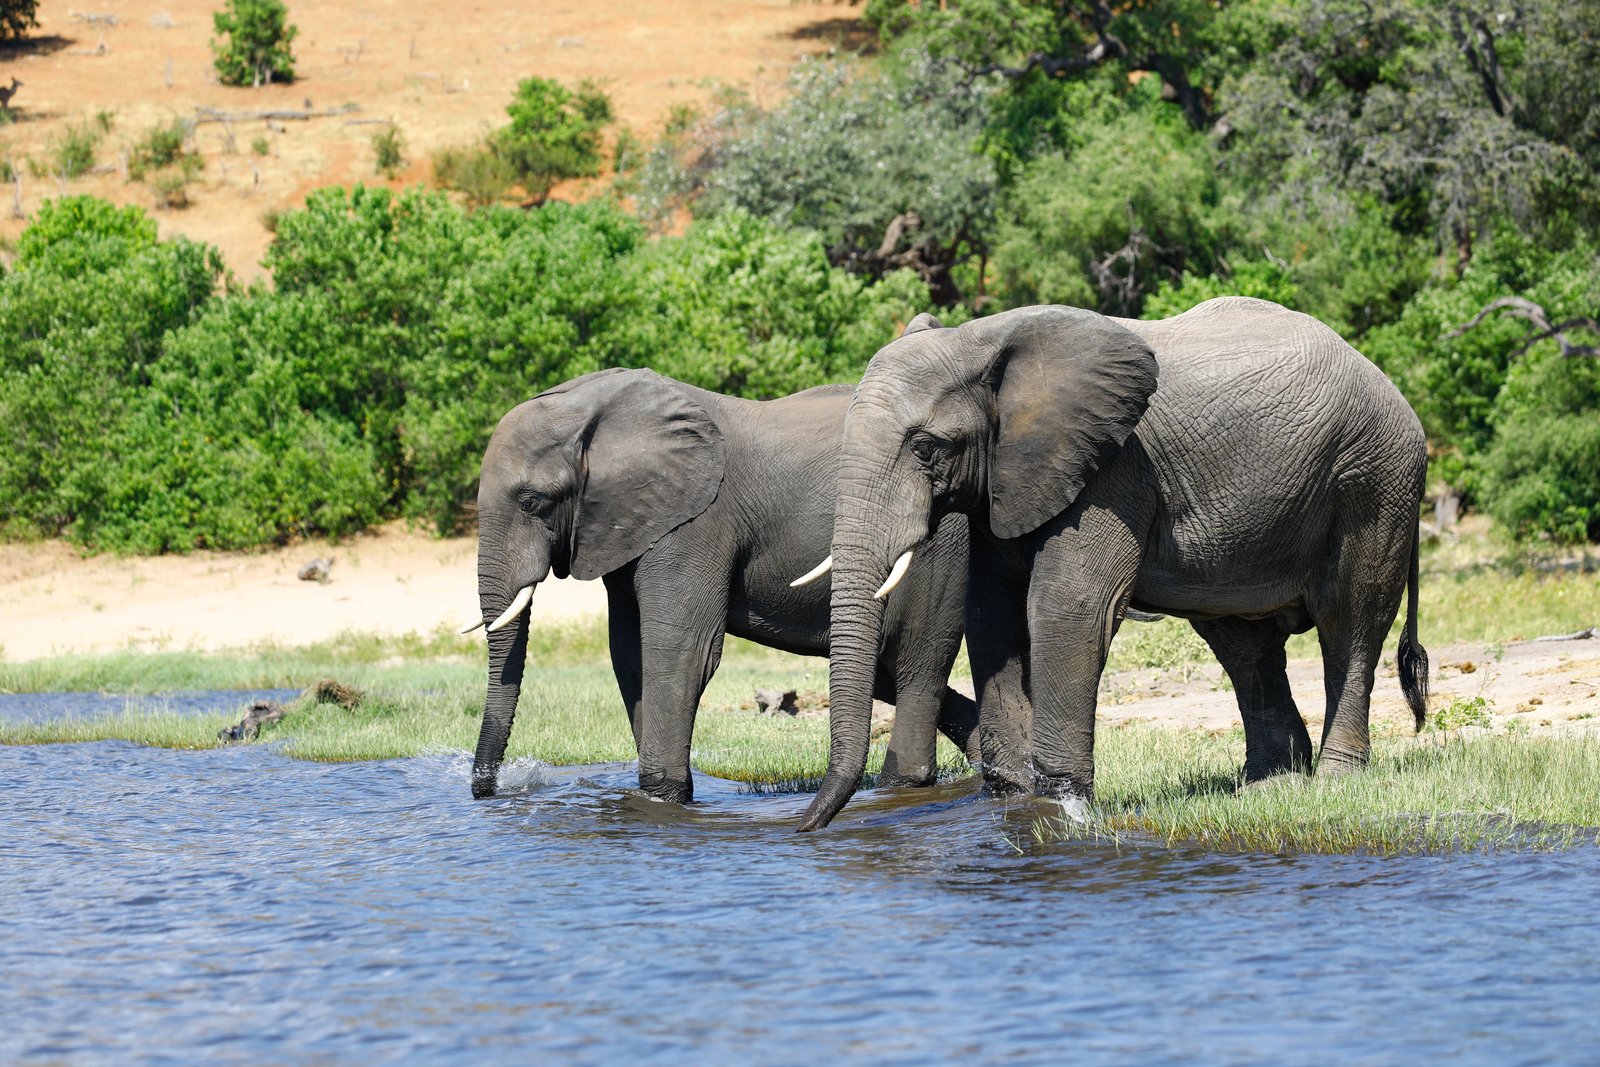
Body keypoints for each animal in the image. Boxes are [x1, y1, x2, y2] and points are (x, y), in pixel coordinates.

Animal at [463, 366, 979, 803]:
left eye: (532, 501)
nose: (487, 793)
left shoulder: (695, 524)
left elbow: (681, 651)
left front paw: (662, 795)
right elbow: (629, 655)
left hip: (940, 545)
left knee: (915, 661)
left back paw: (908, 785)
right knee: (885, 667)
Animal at [796, 297, 1429, 831]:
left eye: (926, 447)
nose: (805, 829)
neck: (981, 340)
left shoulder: (1111, 469)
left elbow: (1068, 607)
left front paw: (1060, 808)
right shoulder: (1010, 481)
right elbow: (991, 616)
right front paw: (1007, 800)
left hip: (1374, 479)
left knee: (1350, 622)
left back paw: (1334, 778)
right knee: (1241, 640)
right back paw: (1269, 786)